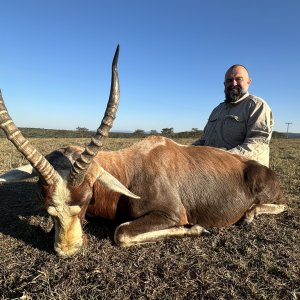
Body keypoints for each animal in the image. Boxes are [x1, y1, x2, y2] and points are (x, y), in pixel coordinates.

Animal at [0, 45, 286, 256]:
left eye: (86, 198)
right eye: (46, 204)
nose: (68, 251)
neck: (129, 170)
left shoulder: (172, 213)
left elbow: (121, 233)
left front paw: (198, 229)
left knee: (281, 205)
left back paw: (249, 216)